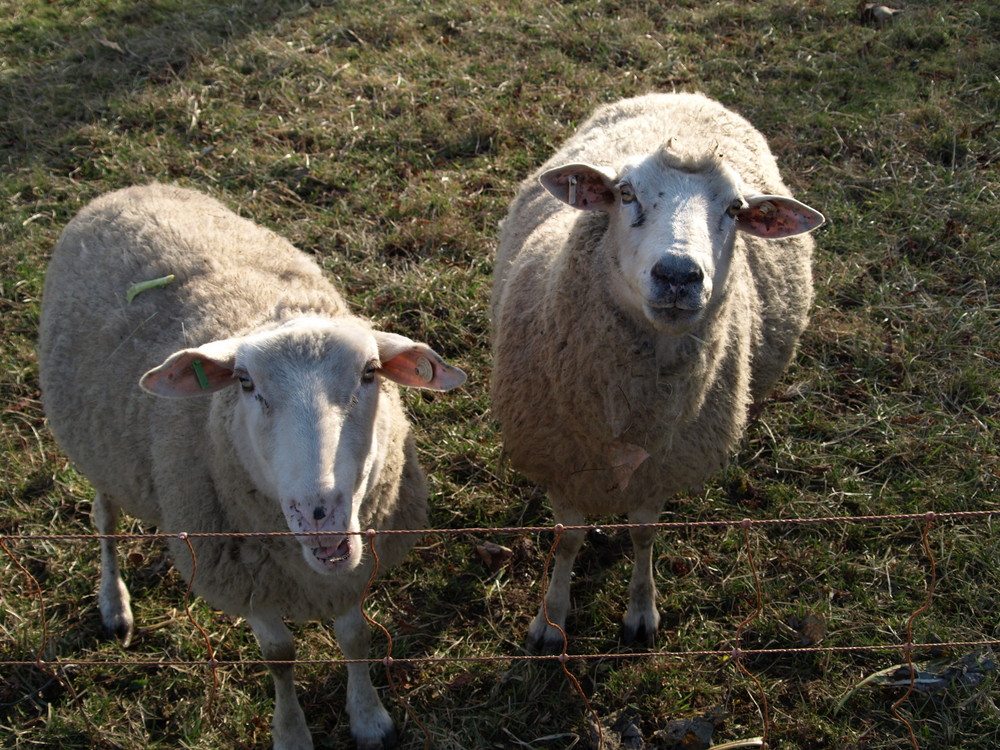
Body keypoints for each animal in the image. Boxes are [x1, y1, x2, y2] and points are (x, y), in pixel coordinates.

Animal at [35, 184, 464, 750]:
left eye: (371, 371)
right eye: (244, 383)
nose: (319, 513)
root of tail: (133, 187)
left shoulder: (353, 567)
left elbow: (355, 636)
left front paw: (369, 719)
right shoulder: (245, 574)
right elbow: (279, 657)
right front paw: (292, 733)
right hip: (96, 447)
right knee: (104, 518)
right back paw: (114, 606)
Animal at [488, 94, 824, 656]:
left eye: (735, 209)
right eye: (625, 194)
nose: (678, 275)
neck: (634, 411)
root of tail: (685, 94)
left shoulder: (659, 470)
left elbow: (644, 535)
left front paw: (641, 613)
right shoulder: (562, 462)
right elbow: (568, 538)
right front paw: (551, 621)